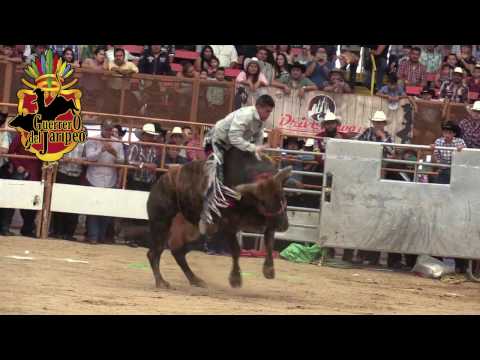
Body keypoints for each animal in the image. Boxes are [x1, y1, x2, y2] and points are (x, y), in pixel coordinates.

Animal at [146, 149, 290, 290]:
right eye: (262, 202)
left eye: (282, 196)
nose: (283, 225)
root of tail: (160, 182)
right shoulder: (228, 225)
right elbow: (236, 250)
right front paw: (235, 279)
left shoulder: (269, 223)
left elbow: (269, 244)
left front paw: (269, 270)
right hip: (161, 224)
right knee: (154, 253)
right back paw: (161, 282)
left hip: (195, 231)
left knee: (178, 251)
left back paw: (195, 280)